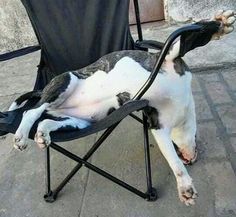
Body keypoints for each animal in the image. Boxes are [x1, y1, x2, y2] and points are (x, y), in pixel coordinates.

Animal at [8, 11, 234, 205]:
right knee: (31, 111)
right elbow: (187, 40)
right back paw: (21, 136)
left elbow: (172, 159)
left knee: (46, 120)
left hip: (78, 121)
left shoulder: (160, 128)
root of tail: (43, 90)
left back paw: (42, 135)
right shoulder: (167, 61)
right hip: (66, 82)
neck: (183, 110)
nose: (190, 160)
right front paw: (220, 24)